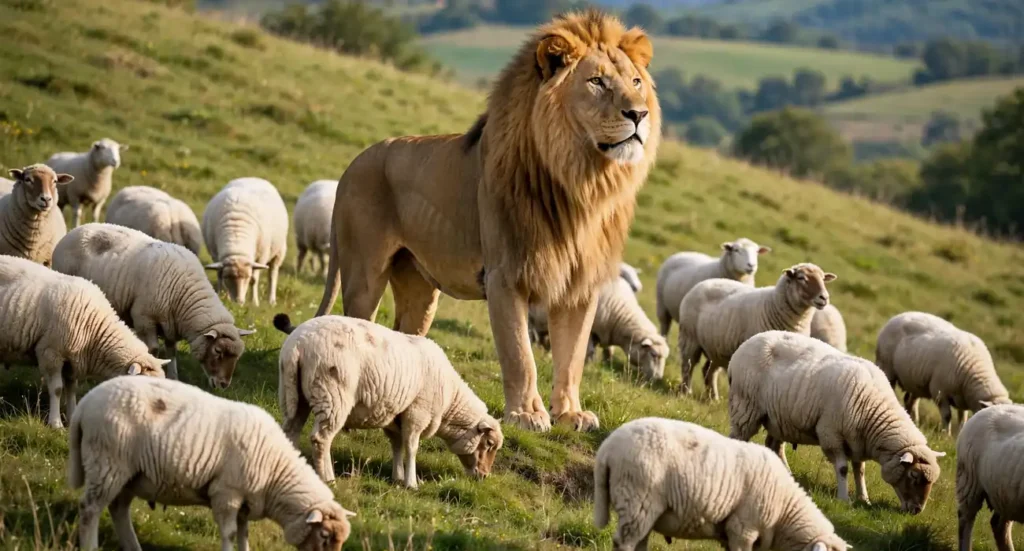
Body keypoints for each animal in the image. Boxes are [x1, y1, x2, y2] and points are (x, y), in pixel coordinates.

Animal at [310, 9, 661, 432]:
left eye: (636, 82)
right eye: (597, 82)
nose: (639, 114)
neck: (582, 183)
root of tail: (353, 164)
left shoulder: (580, 285)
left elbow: (573, 355)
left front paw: (570, 414)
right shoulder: (505, 276)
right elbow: (519, 355)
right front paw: (526, 415)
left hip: (419, 289)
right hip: (364, 274)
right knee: (357, 325)